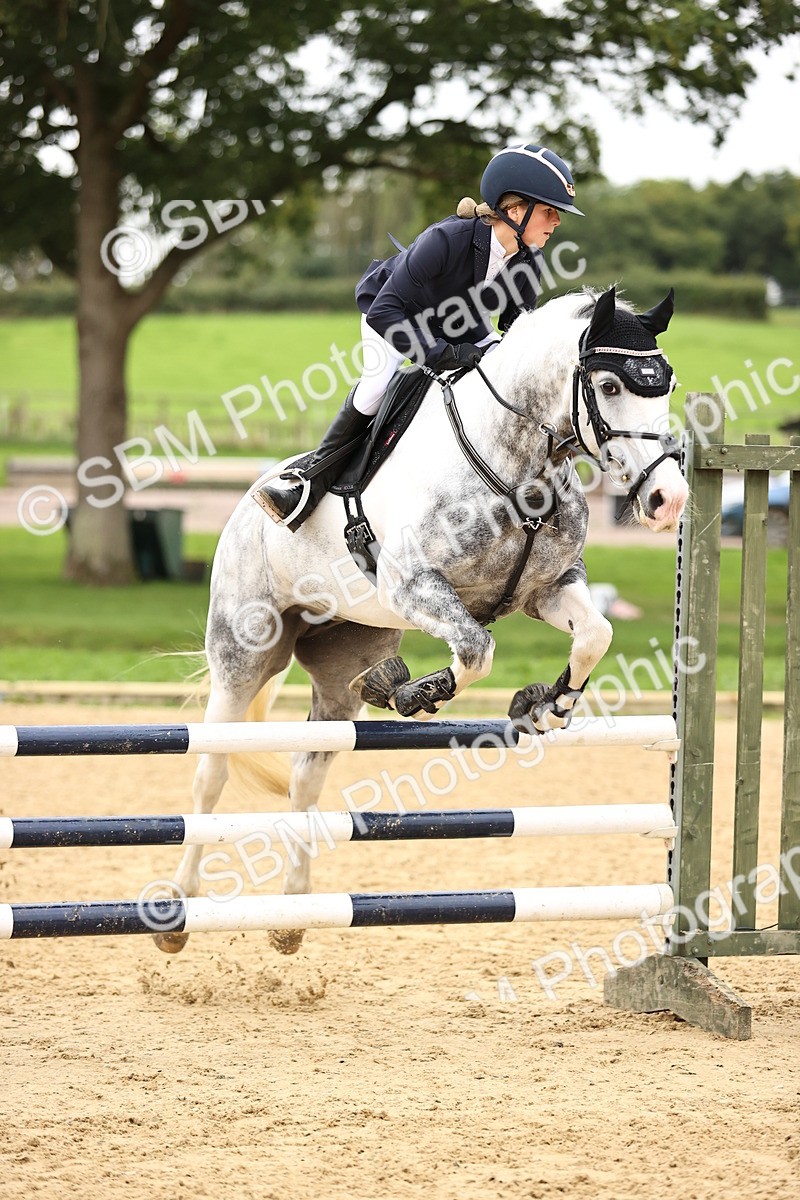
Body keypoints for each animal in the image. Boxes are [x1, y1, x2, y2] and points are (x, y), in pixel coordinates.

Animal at [153, 285, 688, 955]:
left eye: (668, 384)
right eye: (610, 384)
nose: (668, 500)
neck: (514, 460)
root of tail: (244, 507)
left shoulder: (548, 589)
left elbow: (597, 633)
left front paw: (546, 704)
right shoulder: (415, 586)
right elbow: (477, 647)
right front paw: (418, 692)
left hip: (340, 666)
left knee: (307, 774)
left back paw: (293, 913)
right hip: (243, 654)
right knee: (211, 770)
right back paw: (179, 909)